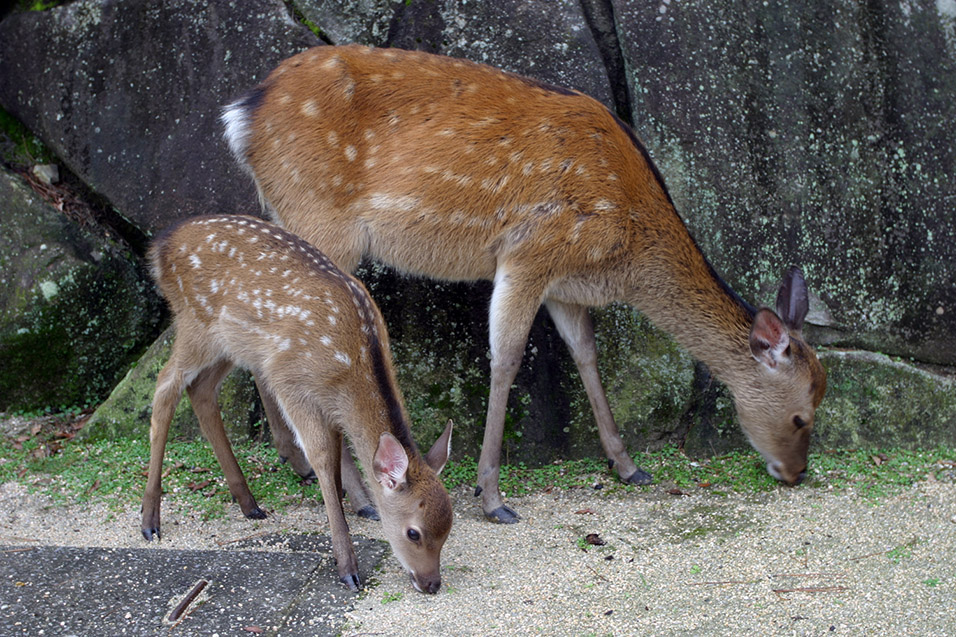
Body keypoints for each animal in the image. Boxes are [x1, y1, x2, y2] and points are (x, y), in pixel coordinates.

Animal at [142, 214, 456, 592]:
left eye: (448, 529)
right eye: (414, 533)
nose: (432, 583)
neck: (351, 363)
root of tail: (159, 246)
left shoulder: (327, 402)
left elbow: (337, 451)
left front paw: (358, 507)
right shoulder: (289, 380)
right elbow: (321, 456)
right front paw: (348, 567)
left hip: (231, 342)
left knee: (201, 390)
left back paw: (248, 503)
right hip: (195, 322)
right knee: (165, 385)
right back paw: (150, 521)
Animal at [220, 43, 824, 520]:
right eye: (802, 414)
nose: (795, 474)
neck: (622, 248)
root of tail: (240, 114)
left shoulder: (563, 282)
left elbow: (586, 353)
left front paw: (627, 466)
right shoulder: (531, 251)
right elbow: (506, 359)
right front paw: (492, 498)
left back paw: (297, 464)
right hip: (319, 221)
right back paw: (359, 496)